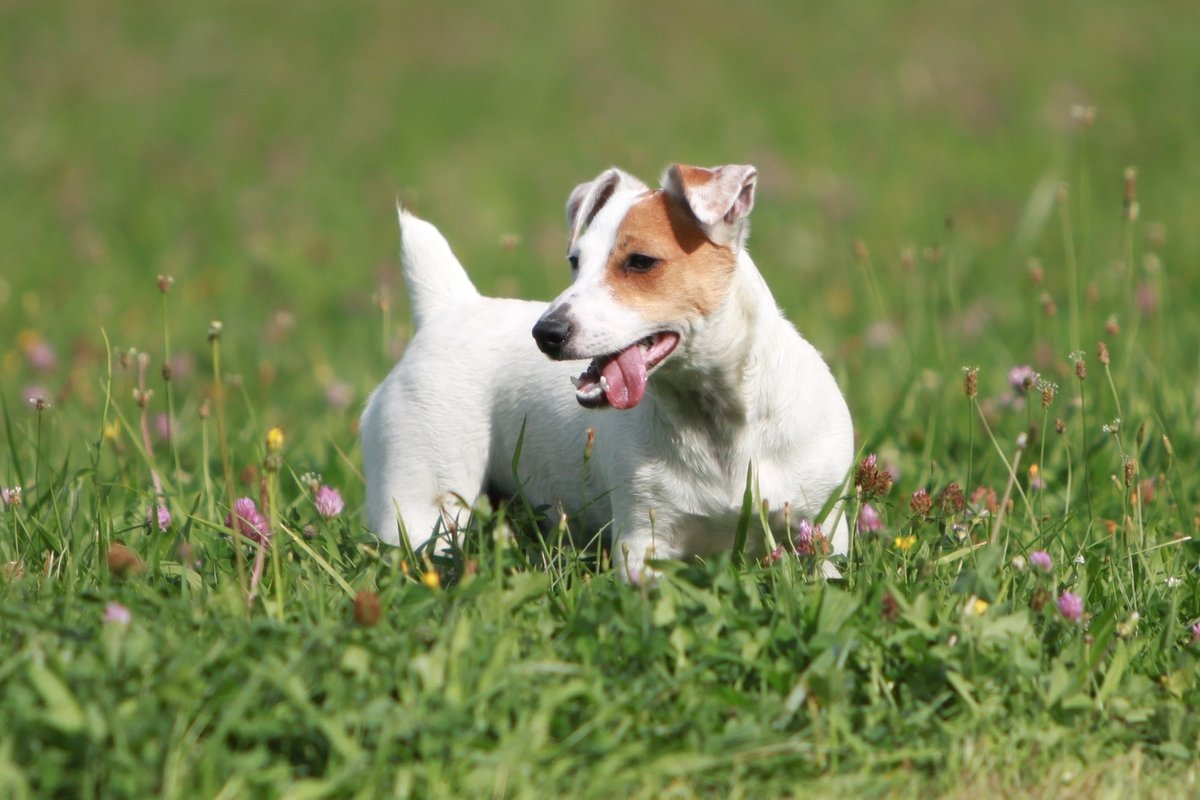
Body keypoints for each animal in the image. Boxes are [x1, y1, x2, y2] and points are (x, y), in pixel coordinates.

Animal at [360, 163, 859, 578]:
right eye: (575, 262)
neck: (719, 422)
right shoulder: (643, 541)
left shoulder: (823, 530)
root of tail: (448, 310)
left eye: (640, 262)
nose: (545, 332)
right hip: (419, 507)